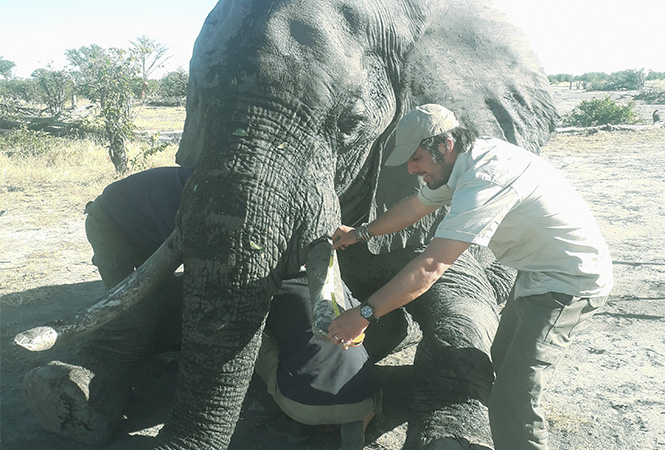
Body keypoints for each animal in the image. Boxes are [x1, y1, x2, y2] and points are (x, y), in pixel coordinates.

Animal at [22, 0, 556, 448]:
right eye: (197, 102)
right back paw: (61, 393)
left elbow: (459, 306)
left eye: (351, 124)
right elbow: (117, 233)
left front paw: (449, 439)